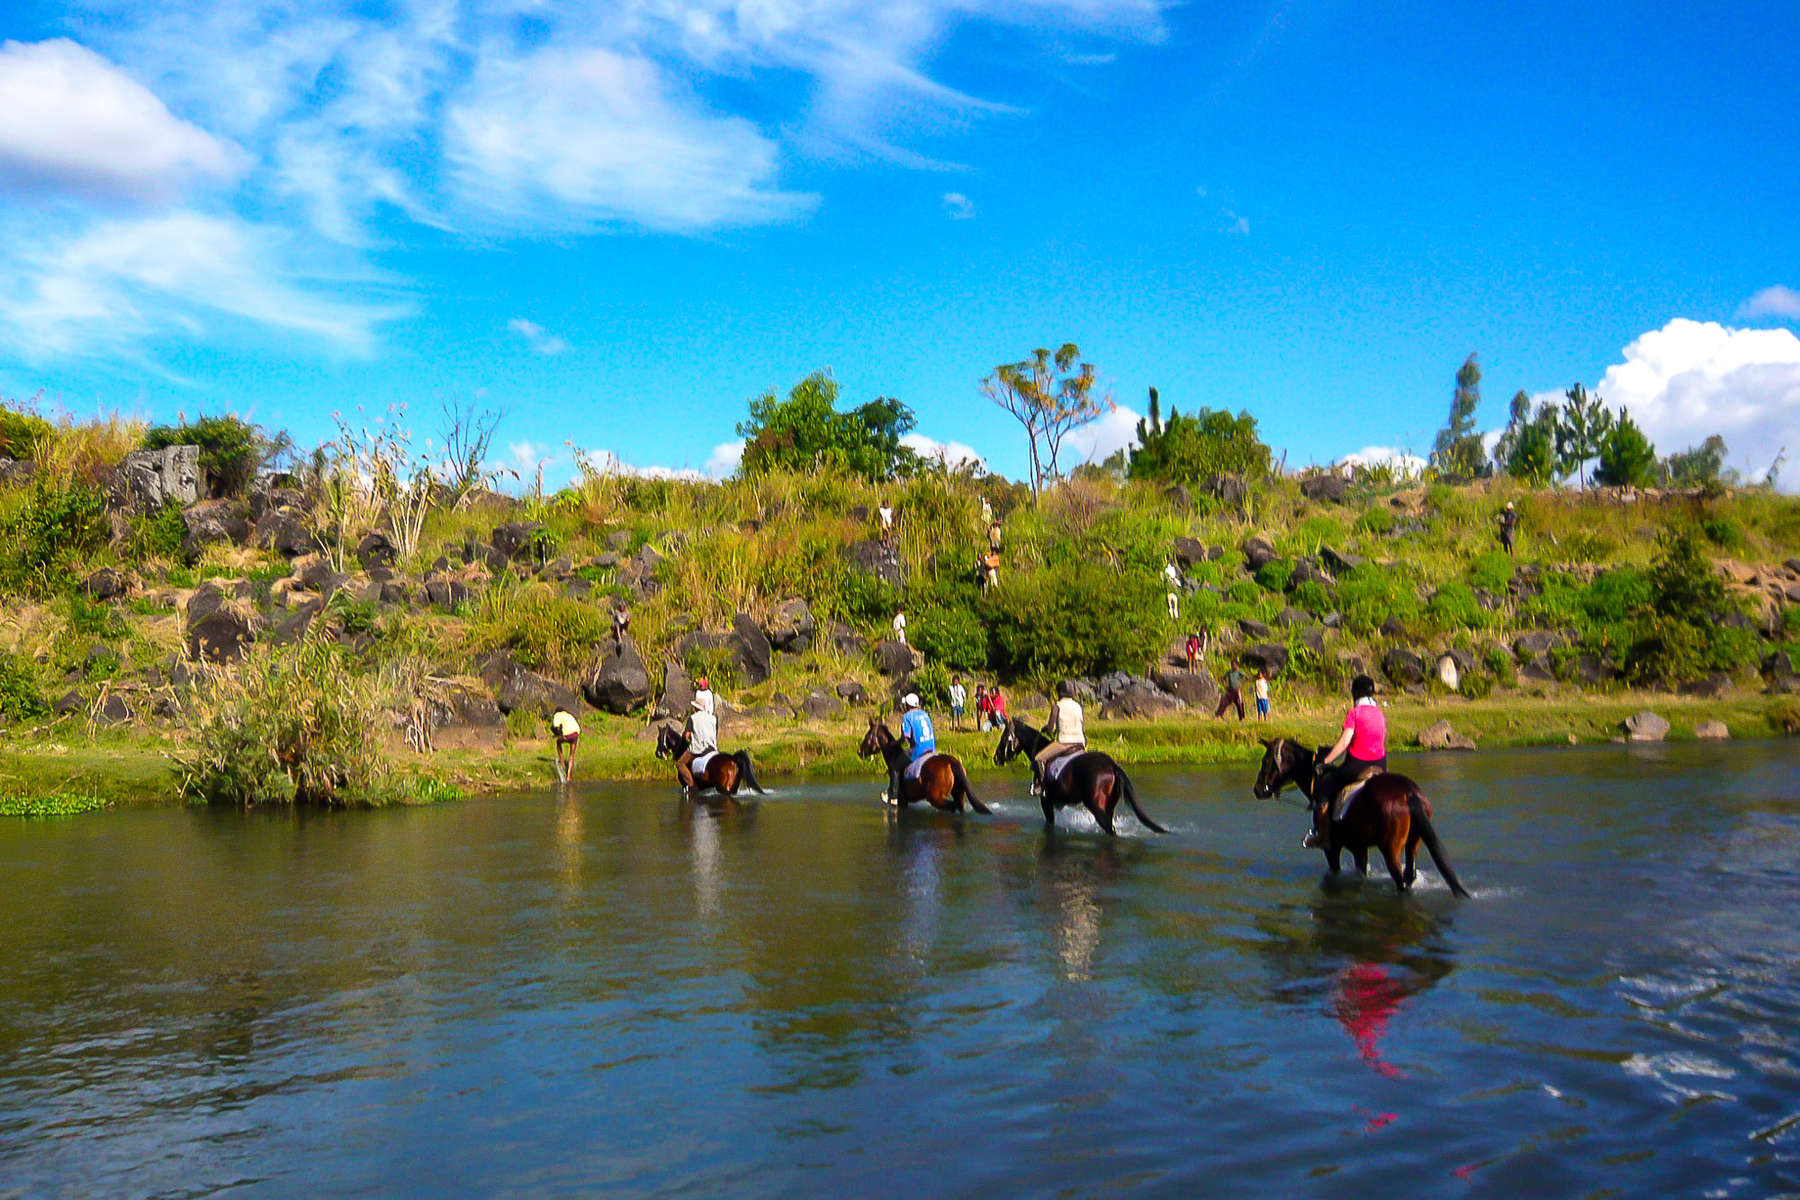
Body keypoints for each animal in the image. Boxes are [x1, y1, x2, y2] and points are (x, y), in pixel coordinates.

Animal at [853, 712, 986, 816]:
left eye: (867, 736)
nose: (859, 752)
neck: (893, 754)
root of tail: (950, 762)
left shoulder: (902, 800)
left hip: (935, 797)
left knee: (952, 806)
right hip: (958, 792)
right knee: (959, 806)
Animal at [1000, 719, 1166, 841]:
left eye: (1003, 738)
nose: (996, 758)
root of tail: (1112, 765)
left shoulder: (1046, 801)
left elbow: (1049, 824)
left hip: (1096, 806)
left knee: (1110, 829)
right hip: (1109, 805)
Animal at [1260, 737, 1468, 895]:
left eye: (1265, 761)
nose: (1257, 790)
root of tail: (1409, 793)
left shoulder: (1332, 848)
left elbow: (1334, 870)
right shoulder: (1359, 848)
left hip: (1390, 849)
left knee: (1400, 880)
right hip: (1413, 843)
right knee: (1410, 875)